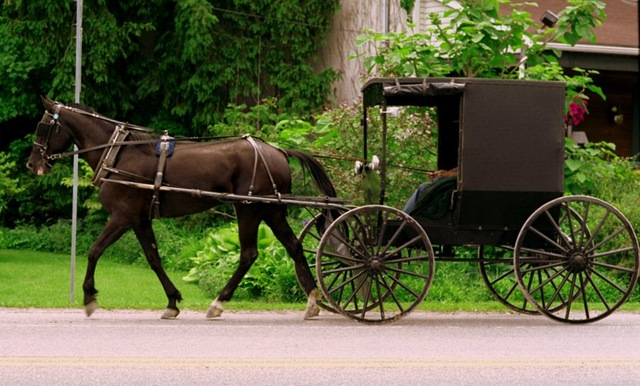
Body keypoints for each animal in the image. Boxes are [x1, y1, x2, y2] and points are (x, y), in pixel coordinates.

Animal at [26, 97, 336, 320]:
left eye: (43, 126)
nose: (32, 164)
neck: (117, 154)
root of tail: (278, 151)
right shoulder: (140, 220)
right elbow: (154, 259)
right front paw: (172, 301)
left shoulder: (122, 216)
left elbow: (94, 251)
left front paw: (89, 298)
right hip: (271, 210)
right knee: (294, 246)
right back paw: (312, 300)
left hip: (248, 209)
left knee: (249, 254)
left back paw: (218, 302)